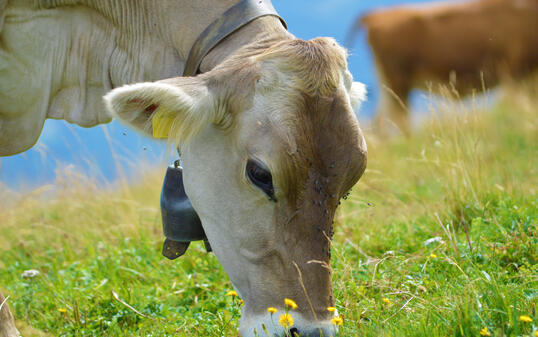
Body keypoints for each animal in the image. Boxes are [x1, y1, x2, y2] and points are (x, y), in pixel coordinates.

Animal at [348, 0, 536, 135]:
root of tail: (375, 15)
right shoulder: (514, 71)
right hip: (398, 83)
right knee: (399, 120)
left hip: (387, 85)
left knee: (381, 122)